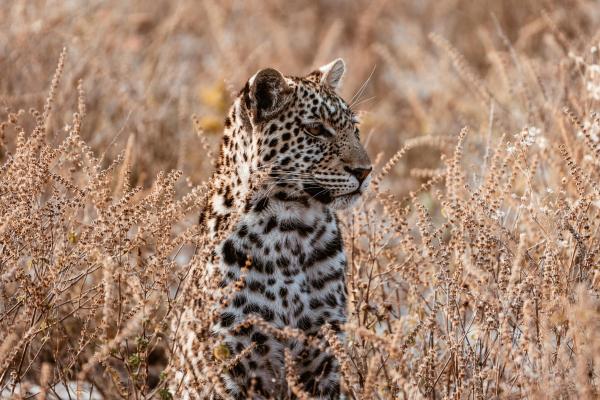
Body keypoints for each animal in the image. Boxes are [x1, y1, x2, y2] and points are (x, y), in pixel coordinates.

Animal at [169, 57, 372, 398]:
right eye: (316, 129)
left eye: (354, 128)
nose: (365, 171)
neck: (292, 229)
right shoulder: (229, 361)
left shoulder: (324, 355)